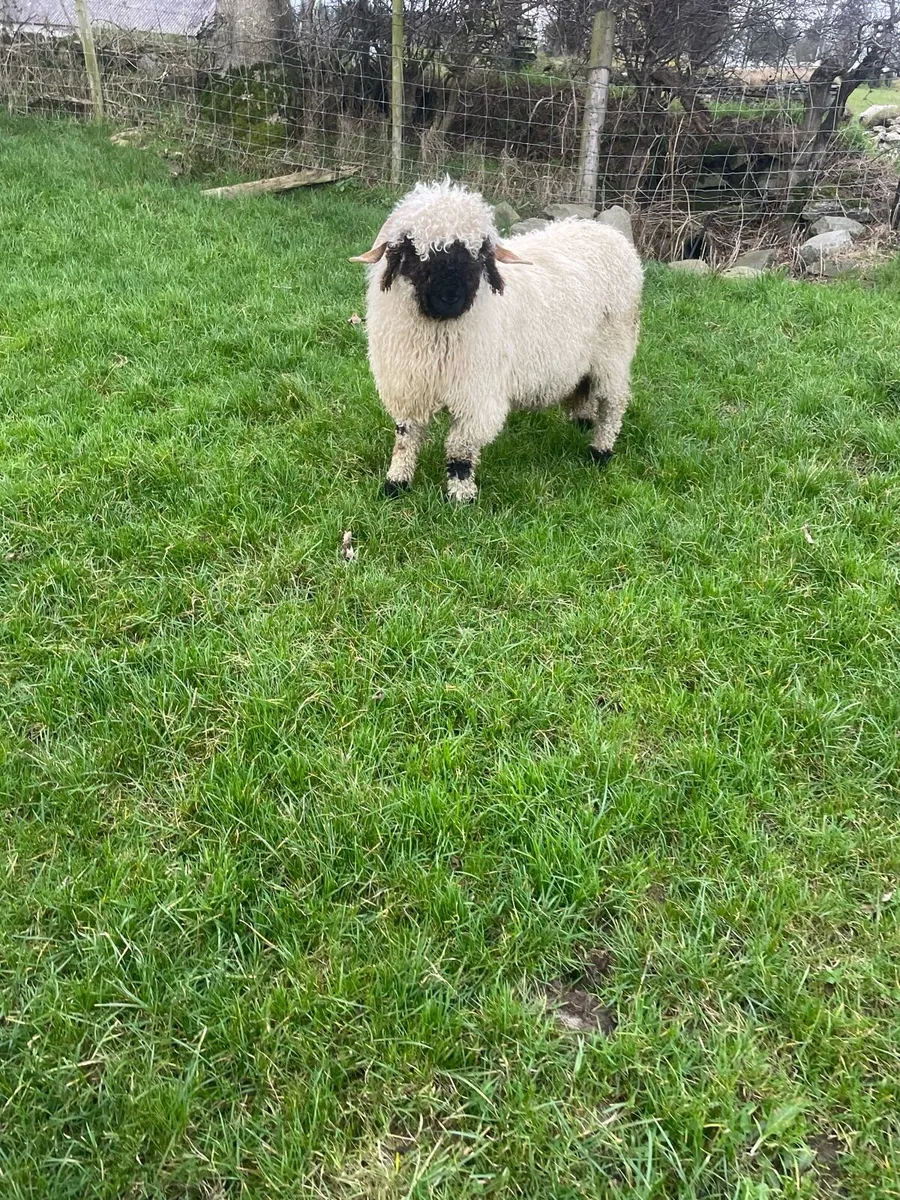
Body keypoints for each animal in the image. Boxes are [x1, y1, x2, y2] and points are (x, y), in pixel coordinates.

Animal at [350, 179, 643, 502]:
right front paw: (396, 483)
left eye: (478, 254)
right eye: (414, 251)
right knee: (584, 389)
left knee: (613, 404)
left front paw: (461, 496)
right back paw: (582, 422)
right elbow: (406, 438)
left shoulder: (476, 395)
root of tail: (609, 234)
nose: (450, 298)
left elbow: (460, 448)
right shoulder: (409, 386)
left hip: (614, 352)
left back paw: (600, 450)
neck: (439, 335)